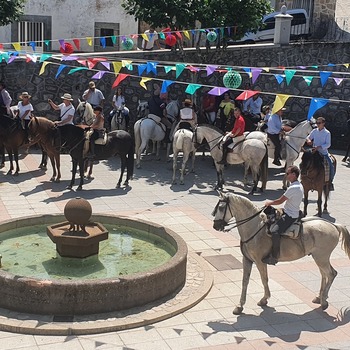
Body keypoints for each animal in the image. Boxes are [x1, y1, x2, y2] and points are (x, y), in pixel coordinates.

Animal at [212, 191, 350, 314]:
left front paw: (264, 299)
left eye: (221, 207)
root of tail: (334, 225)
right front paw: (240, 306)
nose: (215, 226)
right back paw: (319, 297)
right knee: (324, 275)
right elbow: (245, 281)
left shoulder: (259, 261)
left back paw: (324, 301)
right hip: (319, 257)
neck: (254, 227)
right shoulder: (247, 259)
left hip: (322, 257)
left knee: (331, 274)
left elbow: (264, 279)